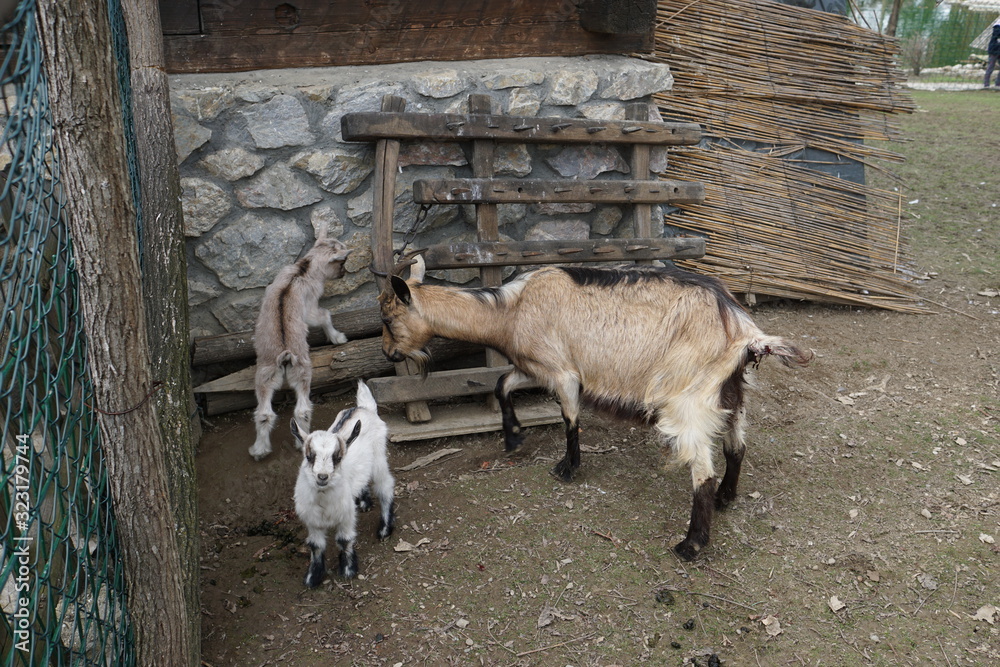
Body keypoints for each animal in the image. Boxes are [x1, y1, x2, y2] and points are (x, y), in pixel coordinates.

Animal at [249, 233, 352, 461]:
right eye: (342, 261)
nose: (344, 273)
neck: (302, 270)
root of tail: (285, 353)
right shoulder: (310, 307)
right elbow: (323, 315)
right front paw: (337, 337)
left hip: (266, 374)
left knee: (264, 413)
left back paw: (259, 450)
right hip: (303, 370)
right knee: (302, 410)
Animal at [292, 380, 395, 587]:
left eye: (337, 458)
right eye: (309, 456)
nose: (322, 477)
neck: (324, 501)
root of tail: (364, 407)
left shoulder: (346, 515)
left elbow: (344, 540)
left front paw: (348, 570)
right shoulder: (312, 520)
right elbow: (315, 545)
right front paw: (312, 577)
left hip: (379, 458)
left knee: (385, 487)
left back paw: (384, 529)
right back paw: (364, 502)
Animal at [378, 255, 812, 560]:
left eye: (388, 317)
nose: (388, 354)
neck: (511, 310)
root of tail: (745, 332)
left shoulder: (564, 372)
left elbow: (570, 419)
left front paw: (567, 468)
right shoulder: (533, 365)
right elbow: (503, 385)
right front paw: (514, 437)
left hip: (689, 399)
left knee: (701, 471)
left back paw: (691, 544)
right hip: (733, 393)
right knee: (736, 447)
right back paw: (726, 498)